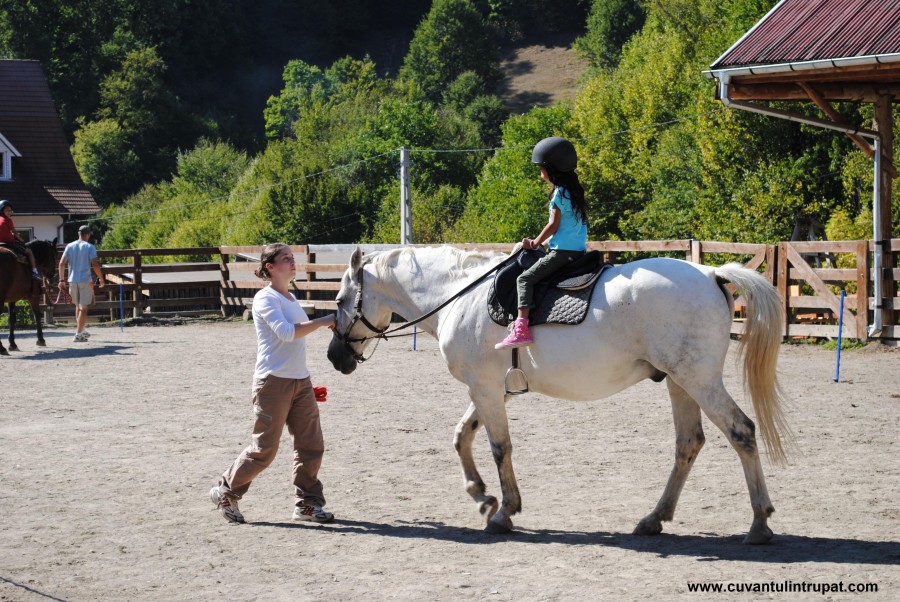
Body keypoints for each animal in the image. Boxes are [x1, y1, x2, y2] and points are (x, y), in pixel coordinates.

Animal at [326, 244, 792, 540]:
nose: (335, 357)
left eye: (340, 299)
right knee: (688, 443)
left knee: (742, 432)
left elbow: (499, 447)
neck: (461, 297)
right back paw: (654, 519)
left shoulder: (486, 389)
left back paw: (760, 523)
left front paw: (503, 511)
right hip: (680, 383)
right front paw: (481, 495)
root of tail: (711, 273)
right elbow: (462, 436)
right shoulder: (493, 389)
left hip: (698, 381)